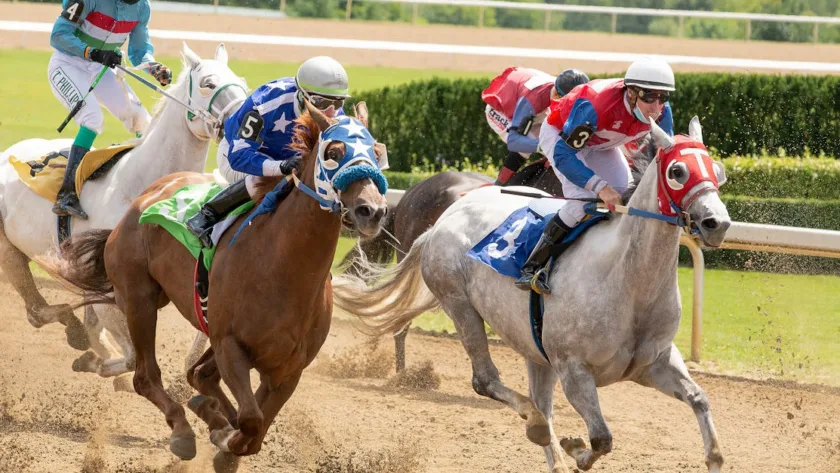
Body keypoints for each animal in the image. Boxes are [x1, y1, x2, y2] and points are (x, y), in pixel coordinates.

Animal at [0, 43, 246, 379]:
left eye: (242, 81)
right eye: (209, 83)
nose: (249, 119)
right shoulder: (112, 291)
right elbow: (130, 356)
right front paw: (99, 364)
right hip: (8, 250)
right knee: (37, 310)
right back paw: (74, 332)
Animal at [39, 101, 389, 471]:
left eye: (376, 152)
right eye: (333, 152)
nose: (372, 210)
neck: (285, 270)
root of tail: (147, 194)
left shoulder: (289, 368)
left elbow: (255, 427)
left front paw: (221, 433)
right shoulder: (229, 345)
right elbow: (251, 419)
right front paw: (221, 433)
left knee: (198, 375)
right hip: (140, 300)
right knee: (146, 375)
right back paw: (183, 430)